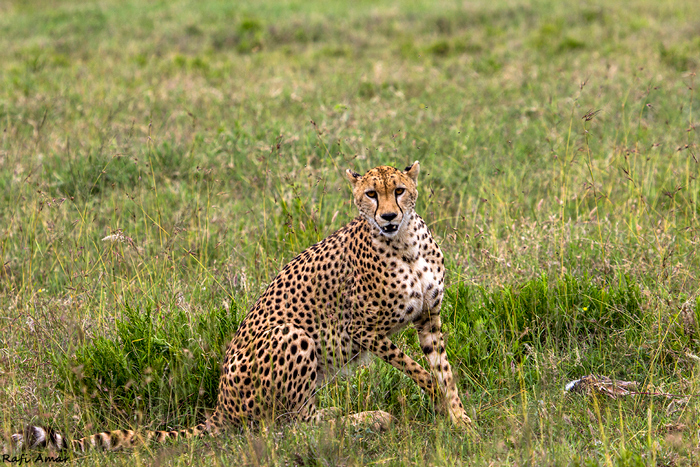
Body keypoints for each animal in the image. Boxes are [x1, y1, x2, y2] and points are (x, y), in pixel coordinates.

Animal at [9, 162, 470, 454]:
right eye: (371, 194)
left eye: (400, 191)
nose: (389, 216)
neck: (404, 243)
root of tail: (220, 405)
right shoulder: (363, 329)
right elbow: (421, 371)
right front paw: (438, 402)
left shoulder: (429, 318)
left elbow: (444, 373)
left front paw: (461, 421)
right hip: (292, 334)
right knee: (284, 428)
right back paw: (369, 418)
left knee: (296, 419)